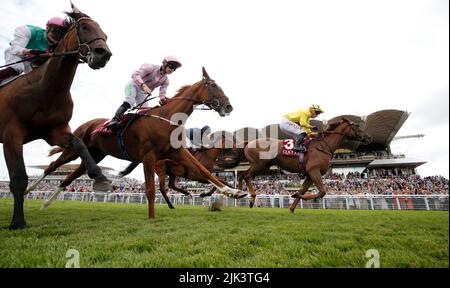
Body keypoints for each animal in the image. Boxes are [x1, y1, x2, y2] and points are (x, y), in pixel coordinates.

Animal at [0, 3, 112, 230]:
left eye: (105, 34)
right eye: (84, 27)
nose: (103, 54)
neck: (45, 90)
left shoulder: (55, 131)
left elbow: (79, 144)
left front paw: (99, 176)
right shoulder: (11, 134)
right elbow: (18, 178)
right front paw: (17, 222)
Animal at [25, 68, 246, 218]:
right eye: (214, 85)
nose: (229, 106)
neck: (166, 118)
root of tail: (88, 124)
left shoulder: (177, 153)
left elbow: (205, 171)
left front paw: (234, 192)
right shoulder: (148, 156)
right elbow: (150, 190)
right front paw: (152, 218)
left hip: (94, 155)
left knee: (68, 178)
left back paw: (45, 204)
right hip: (73, 149)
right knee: (52, 167)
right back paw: (27, 190)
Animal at [237, 118, 370, 210]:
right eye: (356, 126)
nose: (368, 137)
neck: (324, 146)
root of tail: (249, 143)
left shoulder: (310, 175)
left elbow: (302, 191)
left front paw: (292, 207)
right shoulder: (314, 171)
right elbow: (322, 192)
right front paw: (294, 195)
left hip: (264, 167)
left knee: (242, 175)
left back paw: (239, 192)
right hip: (259, 164)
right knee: (246, 176)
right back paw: (250, 198)